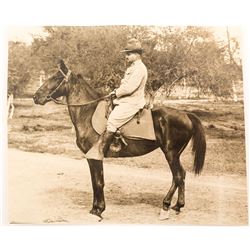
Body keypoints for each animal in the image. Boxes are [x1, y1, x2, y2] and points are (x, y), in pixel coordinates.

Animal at [32, 59, 205, 220]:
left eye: (56, 77)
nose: (36, 96)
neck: (87, 113)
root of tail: (186, 114)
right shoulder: (91, 157)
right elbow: (95, 182)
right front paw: (95, 209)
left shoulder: (95, 156)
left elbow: (99, 182)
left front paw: (99, 210)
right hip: (175, 155)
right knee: (182, 175)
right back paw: (178, 206)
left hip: (170, 154)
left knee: (177, 176)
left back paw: (165, 207)